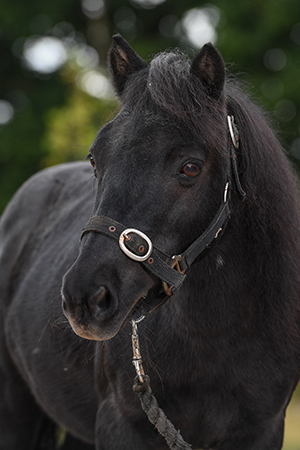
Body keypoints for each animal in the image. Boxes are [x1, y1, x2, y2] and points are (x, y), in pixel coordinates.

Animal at [0, 36, 300, 450]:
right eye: (94, 159)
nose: (84, 298)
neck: (217, 339)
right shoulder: (120, 425)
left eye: (190, 167)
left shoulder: (263, 431)